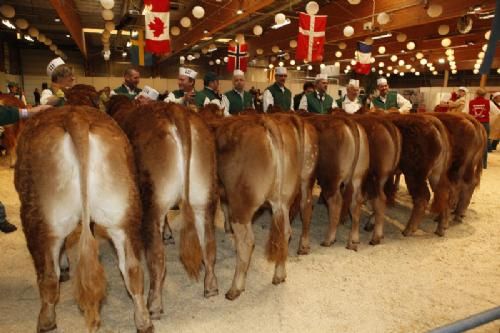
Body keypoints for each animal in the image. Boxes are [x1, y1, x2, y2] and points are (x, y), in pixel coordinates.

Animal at [15, 105, 152, 330]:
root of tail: (75, 117)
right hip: (121, 215)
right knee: (132, 269)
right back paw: (143, 321)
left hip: (43, 218)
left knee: (49, 275)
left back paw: (46, 320)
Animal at [111, 96, 219, 316]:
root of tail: (174, 110)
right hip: (203, 197)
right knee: (209, 245)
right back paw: (211, 287)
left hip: (153, 203)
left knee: (157, 259)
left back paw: (154, 304)